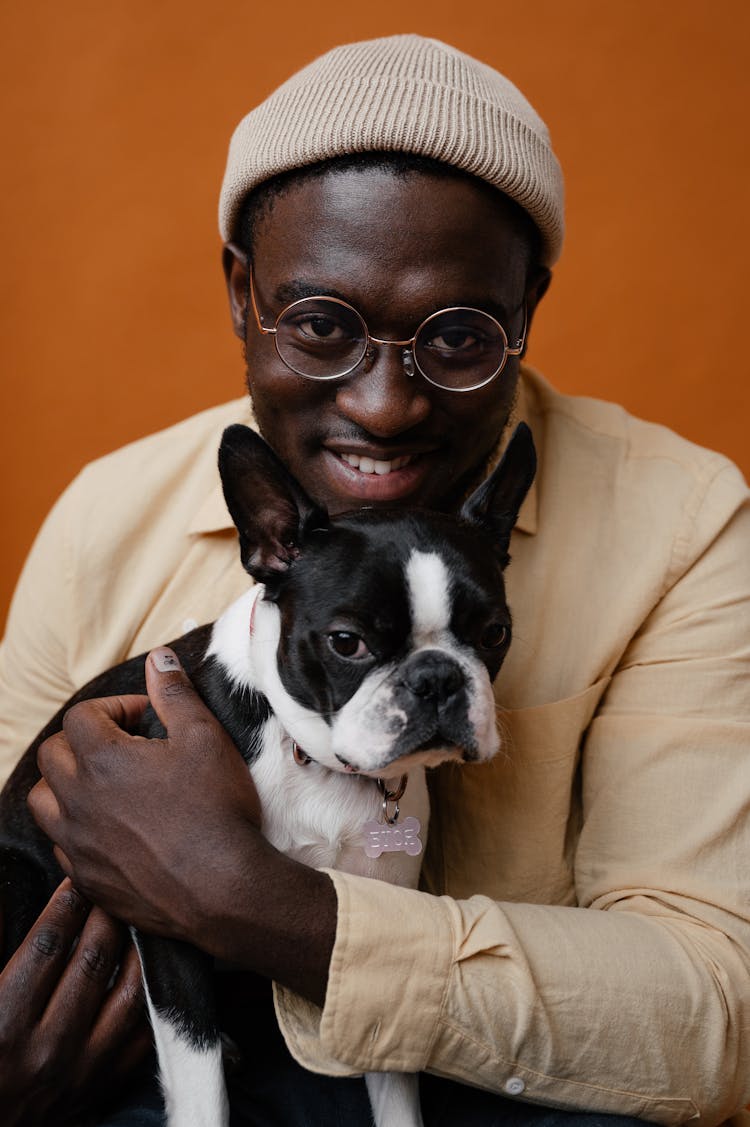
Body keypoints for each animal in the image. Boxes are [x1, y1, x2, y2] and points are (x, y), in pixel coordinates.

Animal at [2, 423, 534, 1127]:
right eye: (346, 642)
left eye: (496, 634)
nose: (438, 677)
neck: (319, 762)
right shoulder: (160, 906)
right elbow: (199, 1079)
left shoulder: (382, 914)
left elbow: (394, 1075)